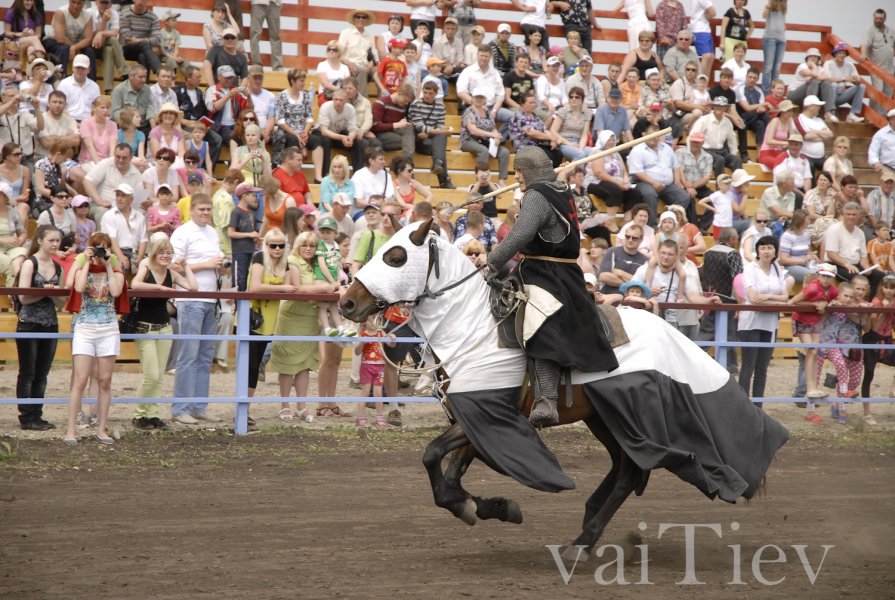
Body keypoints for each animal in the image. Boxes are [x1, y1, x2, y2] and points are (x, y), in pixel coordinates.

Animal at [340, 221, 788, 556]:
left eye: (396, 256)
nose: (346, 303)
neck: (470, 327)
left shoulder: (486, 416)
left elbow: (433, 456)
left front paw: (484, 506)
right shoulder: (474, 420)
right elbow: (449, 479)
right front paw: (489, 507)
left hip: (628, 417)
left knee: (632, 471)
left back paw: (584, 542)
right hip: (605, 421)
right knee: (625, 469)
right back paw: (588, 525)